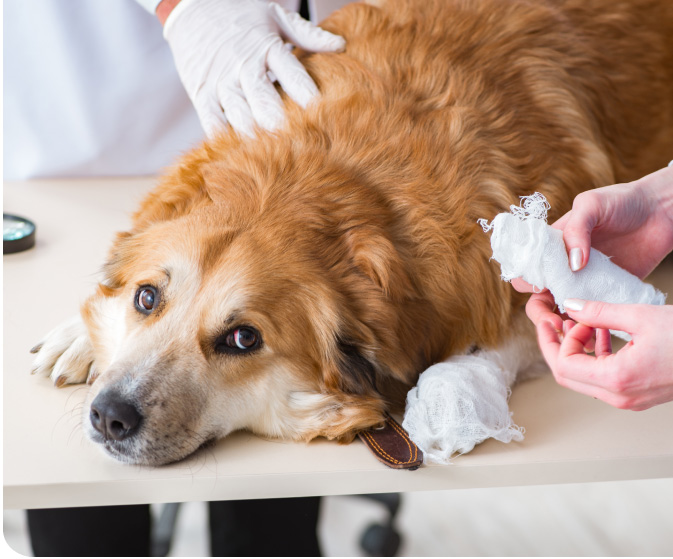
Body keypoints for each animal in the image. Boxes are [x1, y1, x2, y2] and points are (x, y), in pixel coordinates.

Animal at [32, 0, 672, 466]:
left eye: (243, 338)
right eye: (147, 297)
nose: (109, 415)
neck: (327, 182)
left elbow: (507, 338)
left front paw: (454, 396)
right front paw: (81, 335)